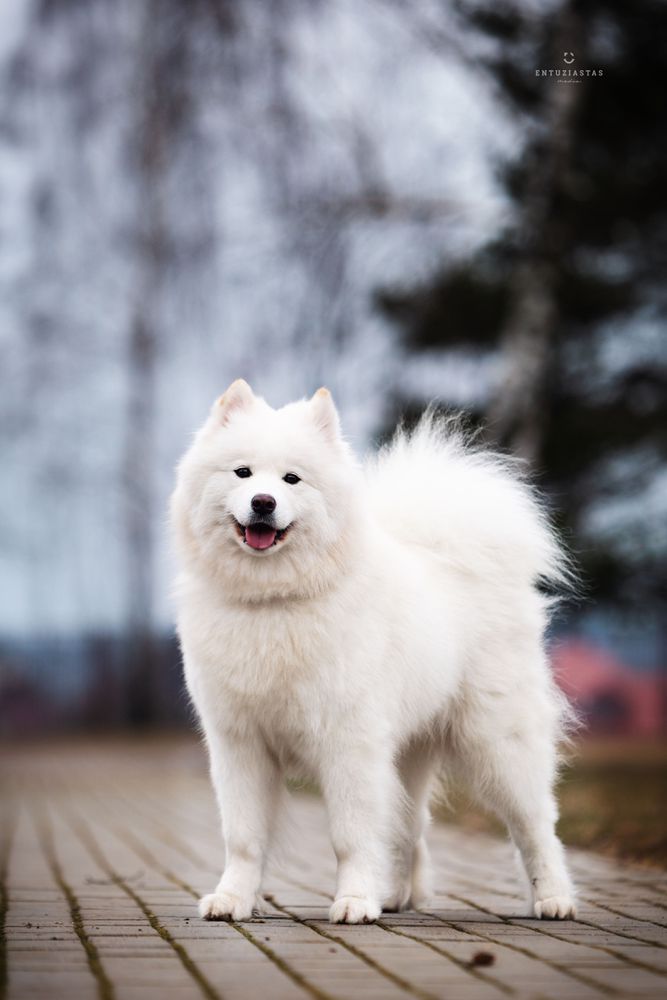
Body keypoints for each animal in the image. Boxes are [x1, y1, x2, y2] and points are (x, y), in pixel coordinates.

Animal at [172, 378, 580, 924]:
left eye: (292, 479)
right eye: (242, 473)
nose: (262, 502)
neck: (275, 602)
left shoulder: (349, 743)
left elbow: (350, 835)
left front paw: (353, 901)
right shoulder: (240, 744)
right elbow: (243, 838)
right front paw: (233, 898)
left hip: (498, 742)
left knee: (536, 826)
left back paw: (553, 898)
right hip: (409, 750)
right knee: (411, 826)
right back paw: (395, 895)